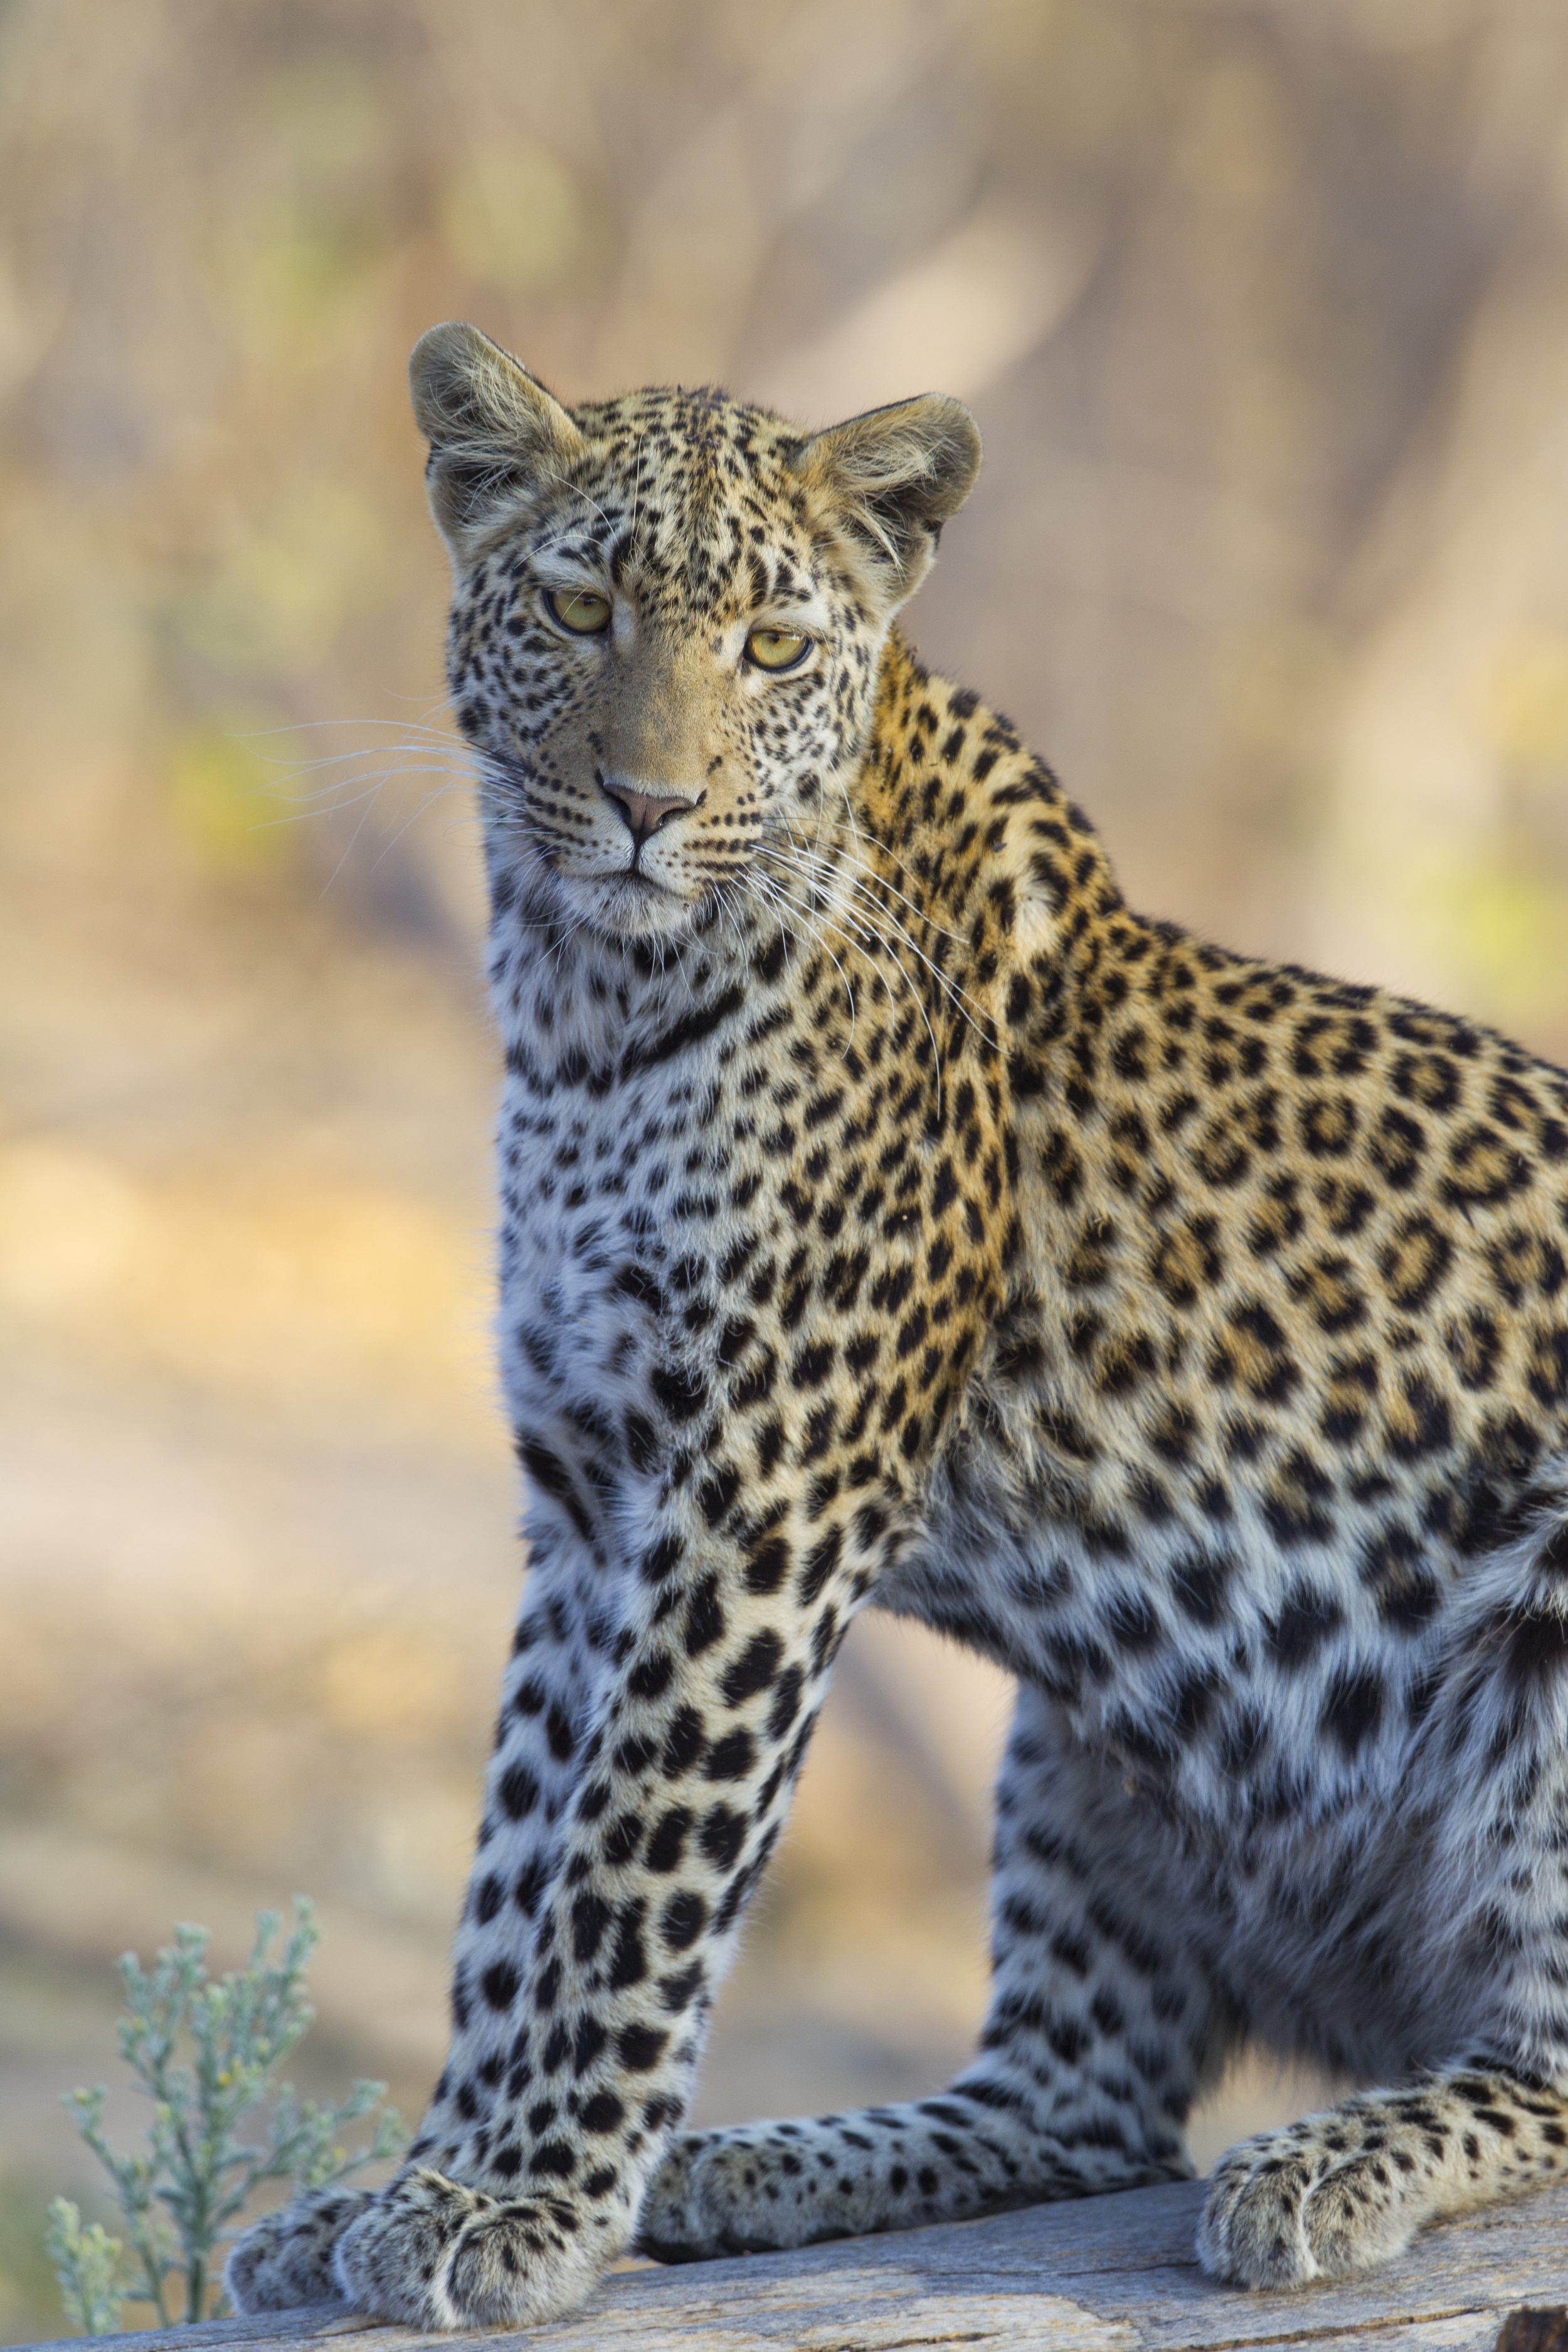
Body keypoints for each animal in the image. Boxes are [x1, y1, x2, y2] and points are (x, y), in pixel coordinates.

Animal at [223, 322, 1568, 2324]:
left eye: (775, 646)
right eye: (576, 601)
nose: (644, 806)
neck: (590, 998)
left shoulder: (760, 1489)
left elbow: (626, 1869)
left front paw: (523, 2198)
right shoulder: (590, 1487)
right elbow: (513, 1867)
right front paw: (427, 2178)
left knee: (1531, 2064)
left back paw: (1328, 2162)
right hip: (1080, 1746)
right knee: (1081, 2107)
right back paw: (751, 2165)